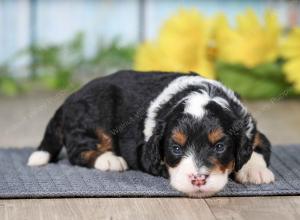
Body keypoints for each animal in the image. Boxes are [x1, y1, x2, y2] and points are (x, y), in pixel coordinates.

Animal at [28, 71, 274, 198]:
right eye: (176, 148)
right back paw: (110, 160)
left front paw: (255, 171)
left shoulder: (249, 127)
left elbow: (259, 146)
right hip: (92, 116)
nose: (198, 179)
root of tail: (68, 99)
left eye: (220, 146)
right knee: (79, 151)